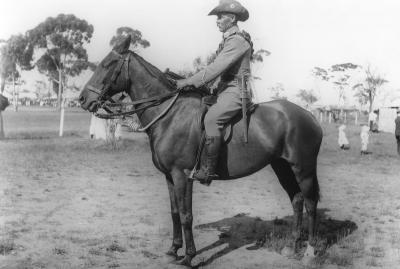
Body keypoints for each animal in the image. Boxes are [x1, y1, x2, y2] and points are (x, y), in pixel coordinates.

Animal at [79, 36, 324, 266]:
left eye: (109, 64)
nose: (83, 99)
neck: (170, 115)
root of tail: (310, 116)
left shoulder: (182, 175)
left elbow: (186, 215)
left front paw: (189, 256)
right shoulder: (169, 176)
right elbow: (175, 213)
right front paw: (173, 250)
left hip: (303, 169)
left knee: (310, 203)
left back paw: (310, 252)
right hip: (281, 166)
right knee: (297, 200)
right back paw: (292, 247)